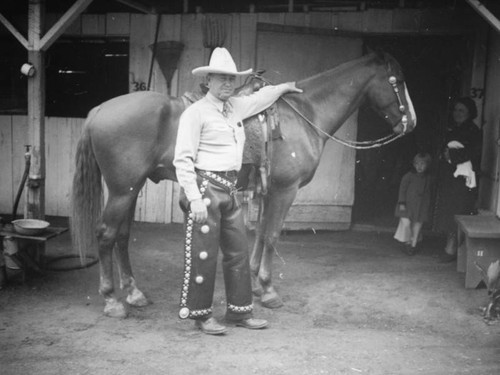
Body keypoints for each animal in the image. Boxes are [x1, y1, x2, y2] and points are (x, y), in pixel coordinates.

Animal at [69, 51, 414, 318]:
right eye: (396, 81)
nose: (411, 122)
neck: (305, 114)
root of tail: (99, 110)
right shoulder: (285, 190)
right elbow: (272, 236)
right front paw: (269, 290)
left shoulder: (270, 191)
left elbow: (260, 233)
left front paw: (256, 283)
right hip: (122, 190)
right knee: (107, 234)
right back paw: (112, 300)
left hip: (129, 189)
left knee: (122, 236)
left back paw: (134, 293)